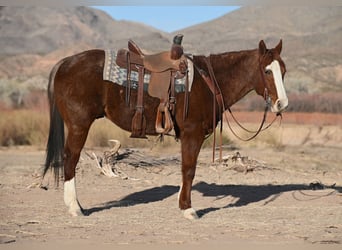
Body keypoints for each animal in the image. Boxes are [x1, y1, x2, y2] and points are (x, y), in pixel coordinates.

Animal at [43, 39, 288, 219]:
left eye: (283, 71)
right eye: (267, 71)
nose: (282, 103)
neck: (208, 81)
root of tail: (64, 63)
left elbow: (184, 169)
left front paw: (182, 202)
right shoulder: (192, 133)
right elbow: (189, 169)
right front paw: (188, 208)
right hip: (79, 125)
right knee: (70, 159)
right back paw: (75, 207)